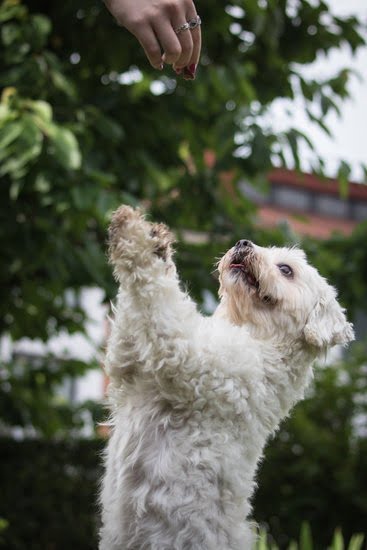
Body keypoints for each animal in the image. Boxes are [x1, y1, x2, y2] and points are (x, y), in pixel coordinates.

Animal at [99, 207, 356, 550]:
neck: (258, 339)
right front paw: (154, 242)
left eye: (286, 269)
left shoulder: (185, 351)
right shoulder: (127, 368)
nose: (242, 243)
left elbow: (157, 293)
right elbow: (133, 314)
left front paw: (139, 237)